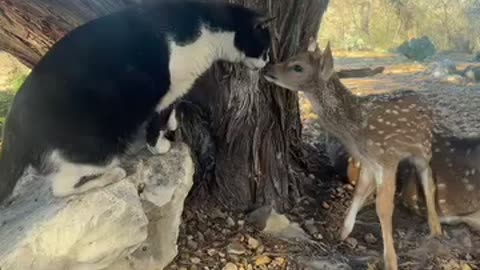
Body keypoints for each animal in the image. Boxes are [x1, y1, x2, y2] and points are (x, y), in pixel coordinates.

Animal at [0, 0, 272, 202]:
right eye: (266, 47)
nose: (267, 62)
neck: (208, 28)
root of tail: (13, 122)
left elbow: (171, 113)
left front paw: (173, 124)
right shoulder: (172, 88)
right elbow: (159, 119)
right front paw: (160, 145)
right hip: (100, 147)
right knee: (61, 187)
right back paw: (113, 175)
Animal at [262, 39, 442, 270]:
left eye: (297, 67)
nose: (268, 68)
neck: (355, 128)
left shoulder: (386, 158)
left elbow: (384, 208)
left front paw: (391, 261)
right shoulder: (367, 161)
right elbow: (359, 191)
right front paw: (343, 232)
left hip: (424, 148)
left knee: (428, 180)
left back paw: (436, 229)